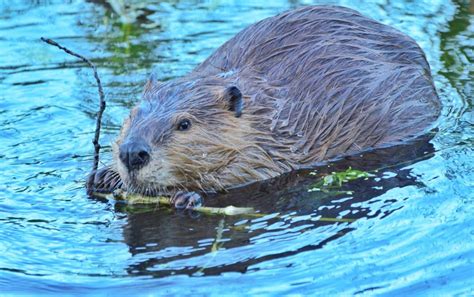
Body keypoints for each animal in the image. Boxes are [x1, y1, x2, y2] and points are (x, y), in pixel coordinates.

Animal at [89, 4, 440, 208]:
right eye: (132, 115)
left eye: (184, 124)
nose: (132, 153)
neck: (264, 117)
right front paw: (103, 176)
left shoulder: (269, 148)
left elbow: (249, 172)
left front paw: (185, 195)